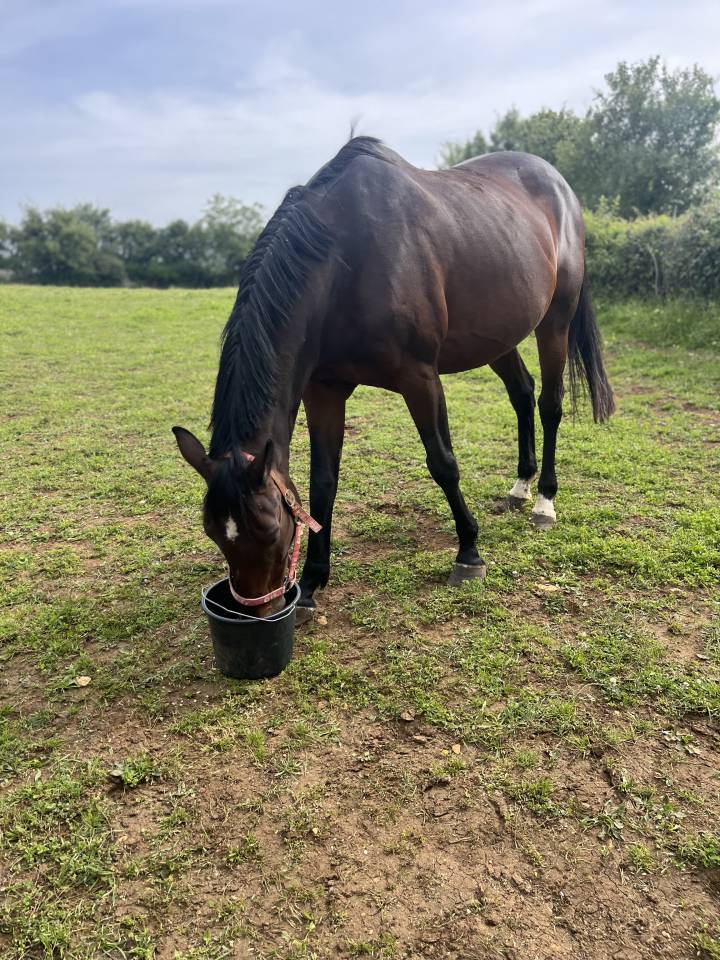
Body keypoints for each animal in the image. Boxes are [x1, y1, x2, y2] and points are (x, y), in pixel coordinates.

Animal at [173, 136, 614, 620]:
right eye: (213, 531)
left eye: (270, 528)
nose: (260, 615)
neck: (345, 261)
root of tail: (557, 183)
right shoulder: (323, 390)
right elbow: (323, 483)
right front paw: (311, 583)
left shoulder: (419, 377)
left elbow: (443, 463)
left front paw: (469, 553)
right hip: (498, 336)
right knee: (522, 392)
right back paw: (520, 486)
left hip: (554, 322)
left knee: (549, 404)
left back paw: (544, 501)